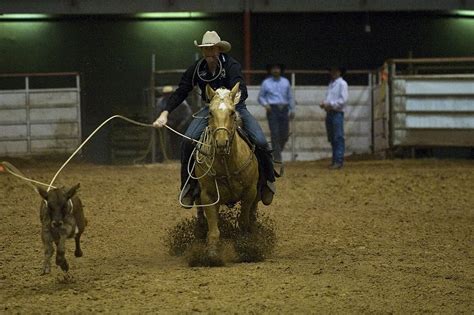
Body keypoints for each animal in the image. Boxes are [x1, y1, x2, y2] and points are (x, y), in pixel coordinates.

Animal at [193, 82, 260, 258]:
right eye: (210, 112)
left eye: (232, 112)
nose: (221, 143)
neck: (227, 163)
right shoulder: (208, 196)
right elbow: (214, 230)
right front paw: (211, 254)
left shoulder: (250, 192)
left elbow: (243, 221)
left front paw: (245, 247)